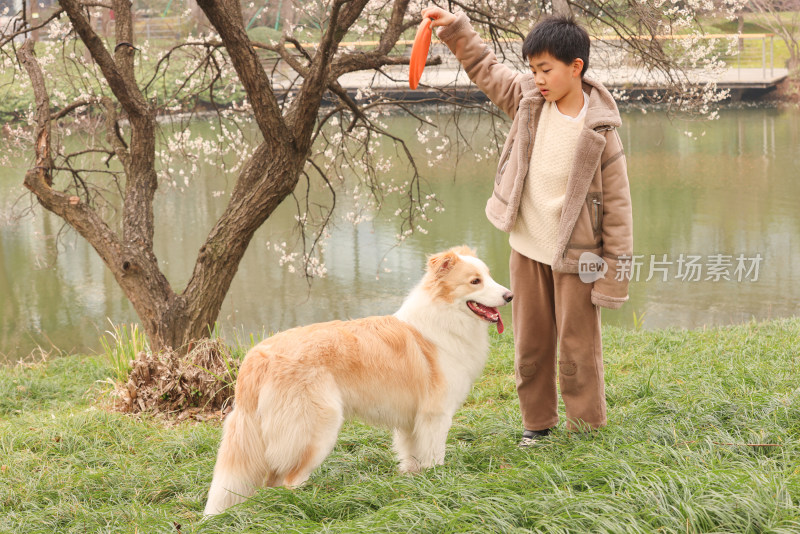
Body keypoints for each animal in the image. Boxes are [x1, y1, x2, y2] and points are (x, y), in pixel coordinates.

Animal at [203, 248, 510, 520]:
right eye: (475, 281)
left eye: (489, 276)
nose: (510, 295)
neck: (445, 317)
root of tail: (257, 357)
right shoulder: (436, 416)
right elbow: (434, 456)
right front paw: (439, 481)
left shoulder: (413, 421)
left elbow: (412, 457)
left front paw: (415, 485)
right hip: (316, 430)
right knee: (287, 481)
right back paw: (301, 507)